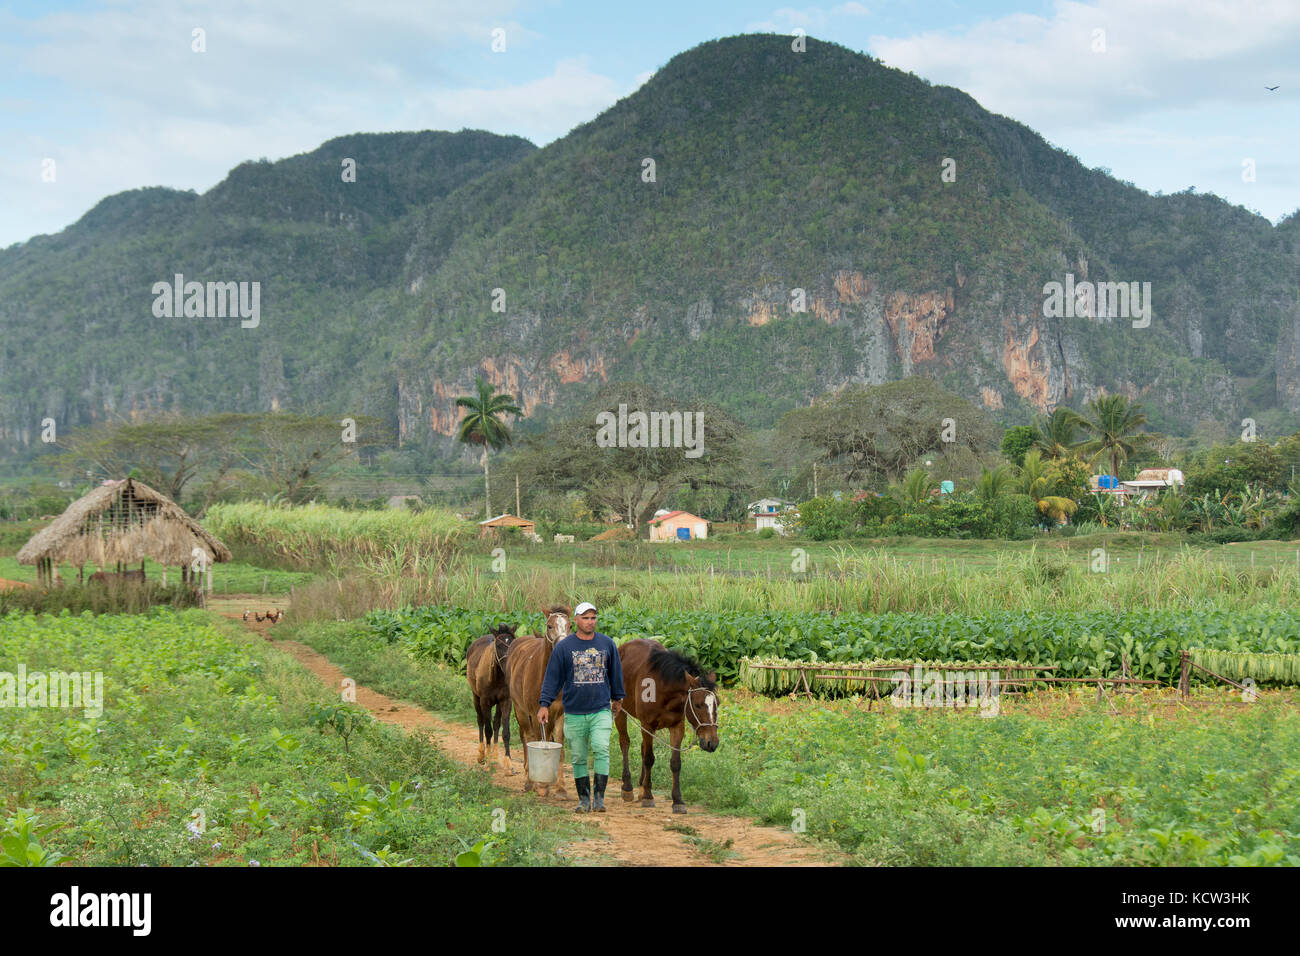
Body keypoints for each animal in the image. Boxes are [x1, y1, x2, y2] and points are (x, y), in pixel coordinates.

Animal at [467, 624, 517, 775]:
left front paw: (508, 763)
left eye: (513, 643)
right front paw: (487, 762)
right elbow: (487, 730)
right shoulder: (485, 702)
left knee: (496, 723)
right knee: (481, 721)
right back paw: (482, 755)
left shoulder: (506, 701)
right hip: (476, 697)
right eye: (499, 645)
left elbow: (505, 732)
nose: (509, 665)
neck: (497, 676)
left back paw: (494, 756)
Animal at [504, 606, 572, 801]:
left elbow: (559, 747)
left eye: (570, 625)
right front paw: (541, 786)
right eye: (549, 626)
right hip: (520, 711)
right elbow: (537, 740)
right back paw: (529, 782)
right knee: (527, 738)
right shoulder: (536, 714)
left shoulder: (561, 714)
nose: (562, 647)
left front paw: (561, 788)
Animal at [611, 642, 717, 816]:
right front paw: (648, 797)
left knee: (642, 747)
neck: (663, 688)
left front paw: (678, 801)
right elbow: (649, 759)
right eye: (697, 705)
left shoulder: (677, 727)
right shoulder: (647, 724)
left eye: (717, 704)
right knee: (625, 743)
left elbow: (675, 763)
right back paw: (628, 787)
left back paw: (641, 787)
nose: (712, 743)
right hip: (620, 710)